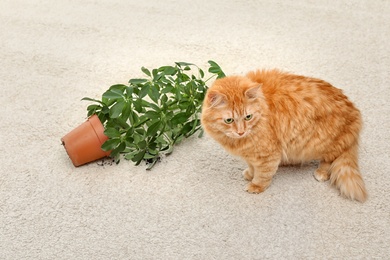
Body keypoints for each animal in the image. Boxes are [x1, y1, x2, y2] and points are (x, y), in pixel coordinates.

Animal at [203, 70, 368, 202]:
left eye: (248, 117)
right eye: (229, 120)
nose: (241, 132)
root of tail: (355, 112)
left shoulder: (267, 154)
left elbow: (262, 174)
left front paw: (255, 185)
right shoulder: (251, 154)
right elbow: (252, 166)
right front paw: (249, 174)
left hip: (322, 143)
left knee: (329, 160)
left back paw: (320, 173)